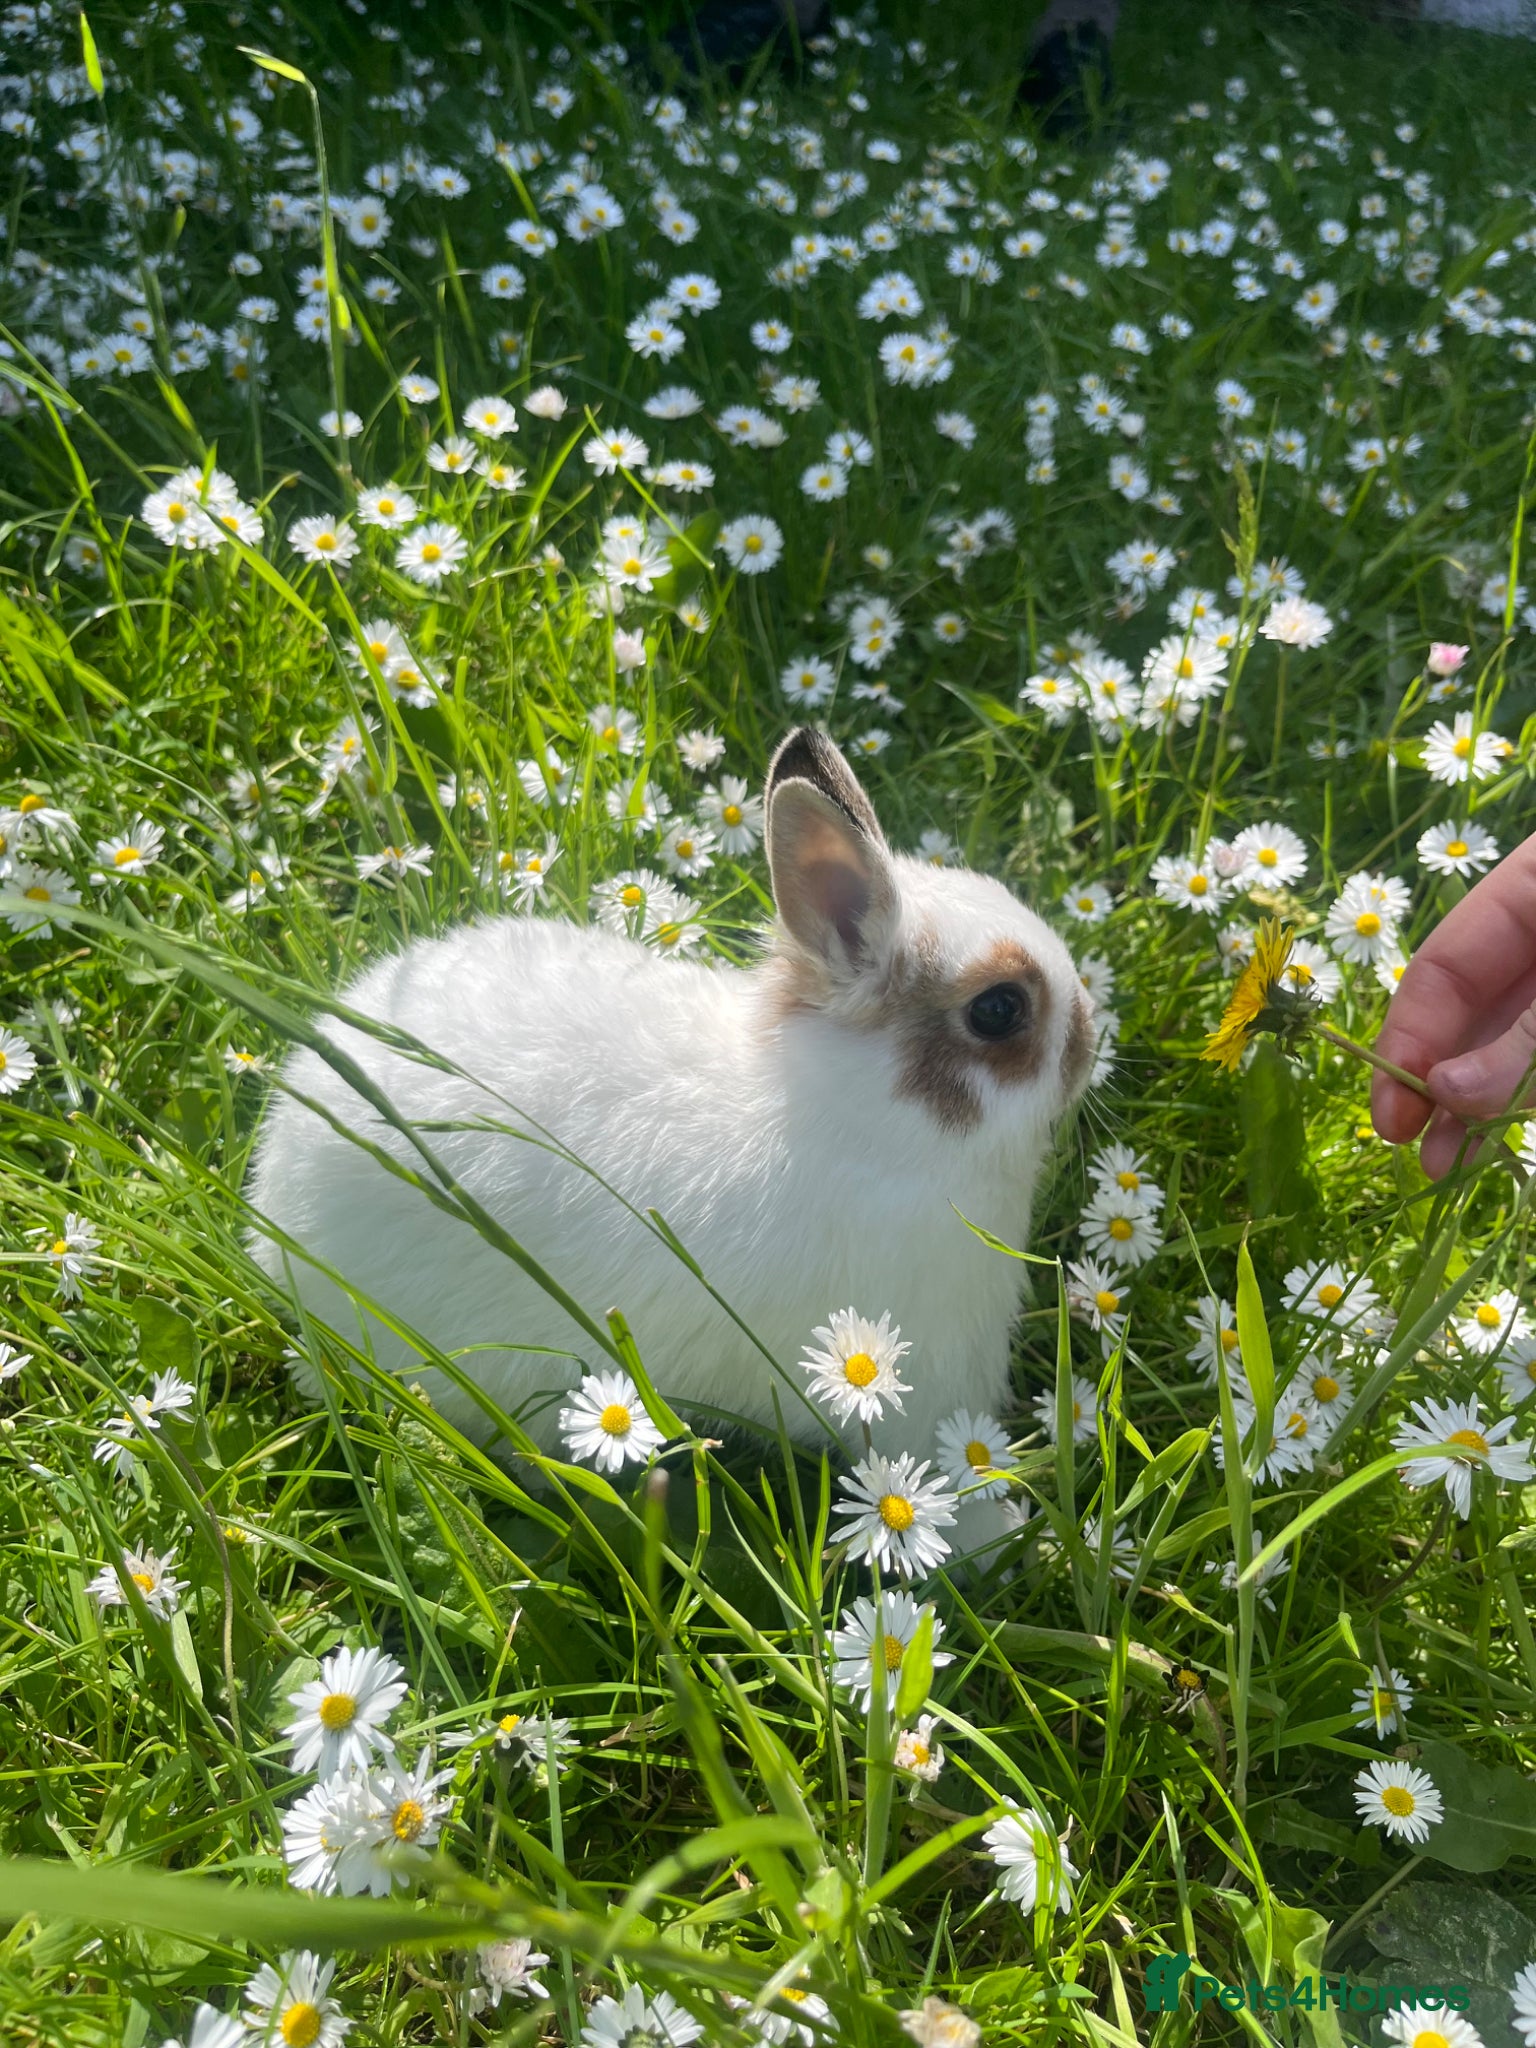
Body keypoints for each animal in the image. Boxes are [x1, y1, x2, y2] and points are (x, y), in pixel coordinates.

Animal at [245, 727, 1095, 1550]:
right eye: (998, 1010)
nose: (1092, 1041)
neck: (879, 1124)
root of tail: (275, 1197)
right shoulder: (916, 1383)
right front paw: (1012, 1543)